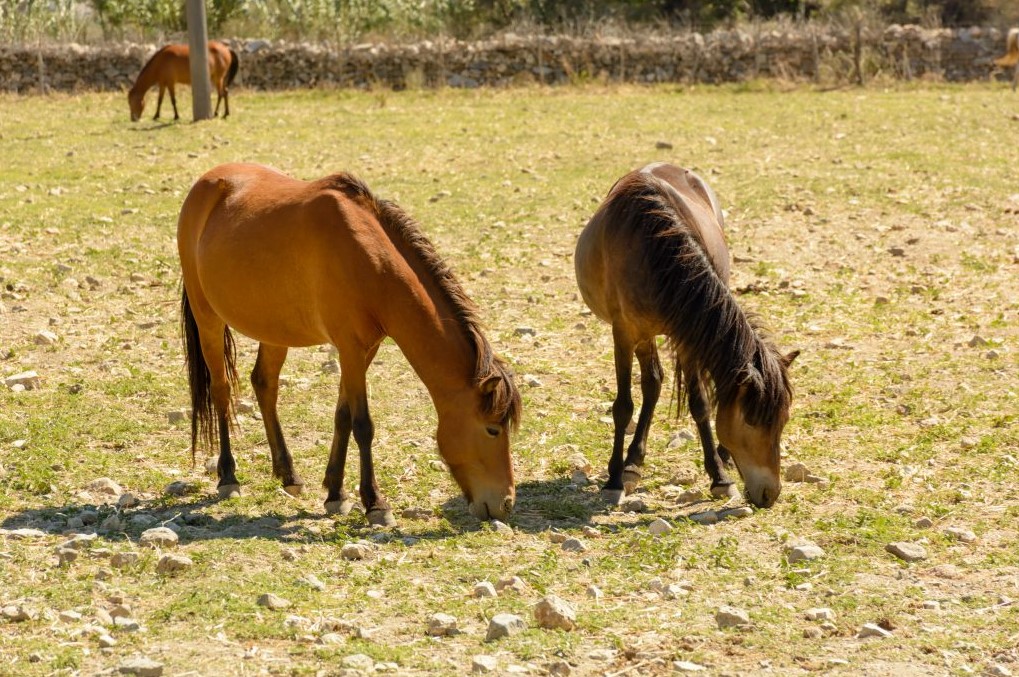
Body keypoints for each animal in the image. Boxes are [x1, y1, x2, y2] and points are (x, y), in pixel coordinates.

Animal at [176, 163, 521, 522]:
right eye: (492, 429)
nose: (506, 503)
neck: (369, 262)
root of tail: (209, 181)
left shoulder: (364, 350)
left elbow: (342, 415)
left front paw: (335, 493)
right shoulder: (350, 348)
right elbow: (363, 424)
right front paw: (375, 503)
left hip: (275, 329)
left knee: (264, 384)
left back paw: (288, 474)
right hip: (208, 318)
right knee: (221, 390)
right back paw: (228, 476)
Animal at [574, 164, 794, 509]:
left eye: (782, 422)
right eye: (751, 421)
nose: (770, 494)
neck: (652, 252)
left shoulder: (690, 337)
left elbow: (700, 404)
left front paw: (719, 477)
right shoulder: (623, 332)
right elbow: (623, 406)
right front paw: (614, 480)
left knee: (656, 383)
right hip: (642, 335)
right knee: (651, 384)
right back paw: (631, 466)